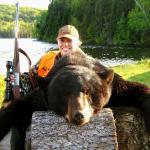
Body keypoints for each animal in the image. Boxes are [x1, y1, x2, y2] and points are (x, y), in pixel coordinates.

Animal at [0, 50, 149, 142]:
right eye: (65, 93)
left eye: (88, 91)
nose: (79, 115)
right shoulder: (41, 97)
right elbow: (16, 107)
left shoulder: (115, 87)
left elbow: (136, 88)